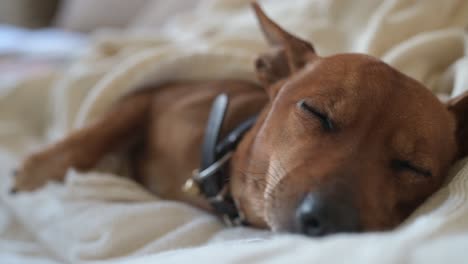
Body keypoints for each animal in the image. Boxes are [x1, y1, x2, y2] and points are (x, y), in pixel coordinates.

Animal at [8, 3, 468, 236]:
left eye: (415, 168)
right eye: (315, 113)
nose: (330, 221)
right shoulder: (151, 96)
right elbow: (97, 132)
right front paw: (33, 173)